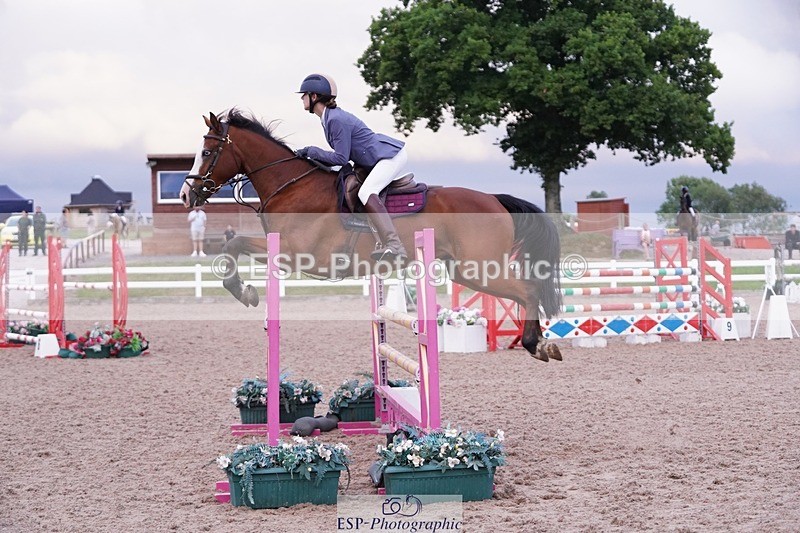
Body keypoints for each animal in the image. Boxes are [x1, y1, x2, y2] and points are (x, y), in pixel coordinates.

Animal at [179, 109, 564, 362]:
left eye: (208, 152)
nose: (186, 195)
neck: (291, 186)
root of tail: (494, 199)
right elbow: (234, 244)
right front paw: (244, 289)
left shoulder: (297, 254)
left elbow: (234, 243)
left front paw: (243, 291)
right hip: (465, 270)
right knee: (524, 290)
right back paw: (539, 342)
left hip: (478, 267)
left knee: (528, 290)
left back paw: (536, 344)